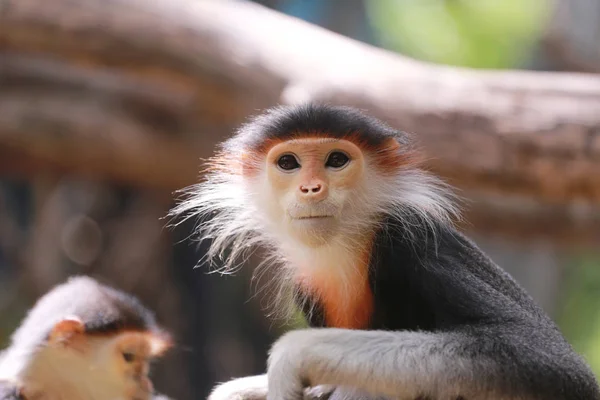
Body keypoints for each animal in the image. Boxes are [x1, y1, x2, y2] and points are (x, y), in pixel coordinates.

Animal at [170, 104, 600, 400]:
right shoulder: (306, 284)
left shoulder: (410, 246)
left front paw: (291, 358)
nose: (311, 188)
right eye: (288, 163)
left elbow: (547, 359)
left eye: (336, 160)